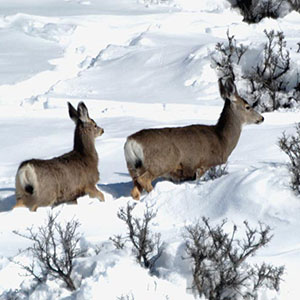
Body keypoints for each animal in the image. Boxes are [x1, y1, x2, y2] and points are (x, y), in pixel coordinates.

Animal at [123, 77, 264, 200]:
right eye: (247, 107)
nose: (262, 118)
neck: (222, 140)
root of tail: (131, 142)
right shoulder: (205, 164)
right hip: (160, 163)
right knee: (143, 180)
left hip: (132, 167)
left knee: (135, 190)